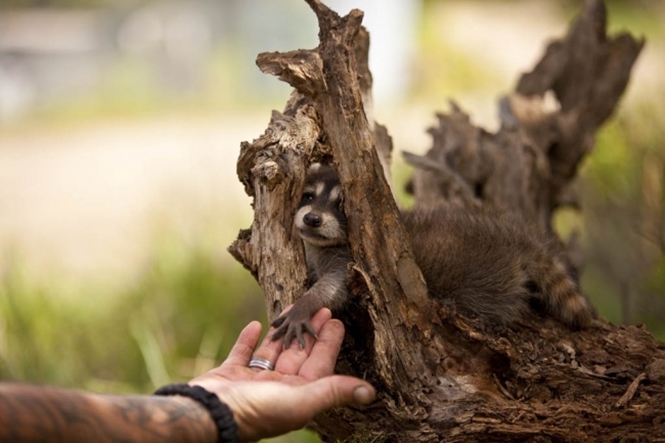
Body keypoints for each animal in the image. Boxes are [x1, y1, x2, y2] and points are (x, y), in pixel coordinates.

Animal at [272, 165, 592, 348]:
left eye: (341, 206)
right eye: (309, 196)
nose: (312, 219)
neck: (323, 244)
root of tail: (513, 238)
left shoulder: (353, 261)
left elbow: (334, 287)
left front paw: (305, 305)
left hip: (483, 279)